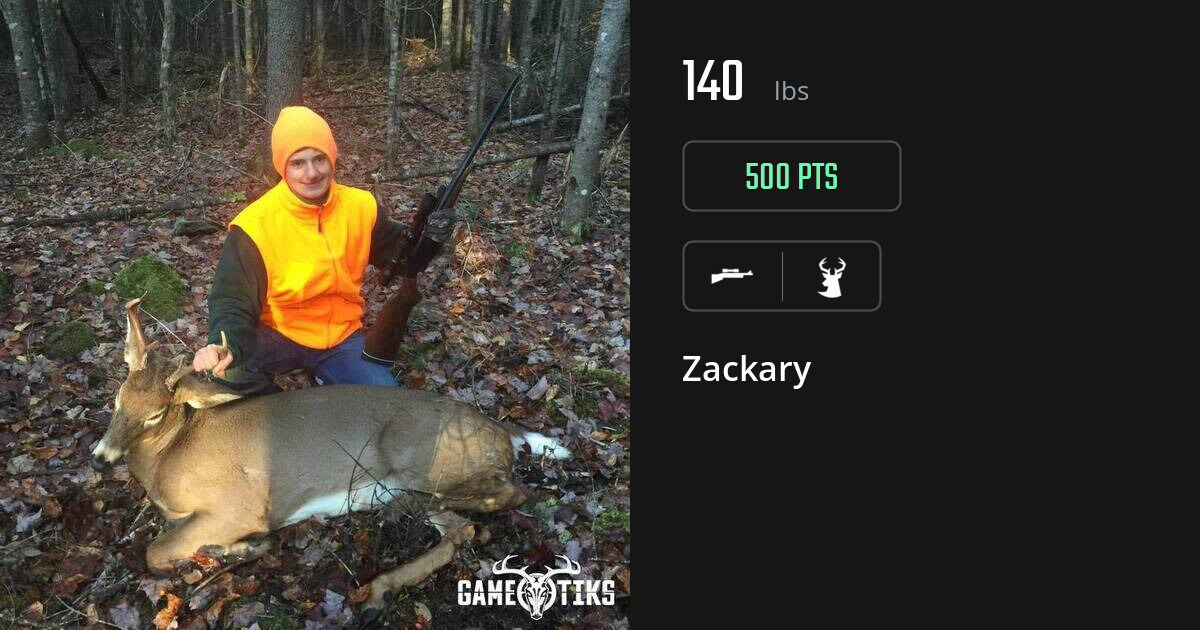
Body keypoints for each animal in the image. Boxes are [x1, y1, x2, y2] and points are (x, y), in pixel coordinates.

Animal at [92, 299, 570, 609]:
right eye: (117, 400)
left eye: (155, 414)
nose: (100, 457)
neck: (170, 457)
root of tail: (499, 428)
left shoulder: (242, 504)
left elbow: (155, 553)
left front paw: (241, 549)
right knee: (460, 530)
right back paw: (381, 584)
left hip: (422, 455)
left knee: (509, 495)